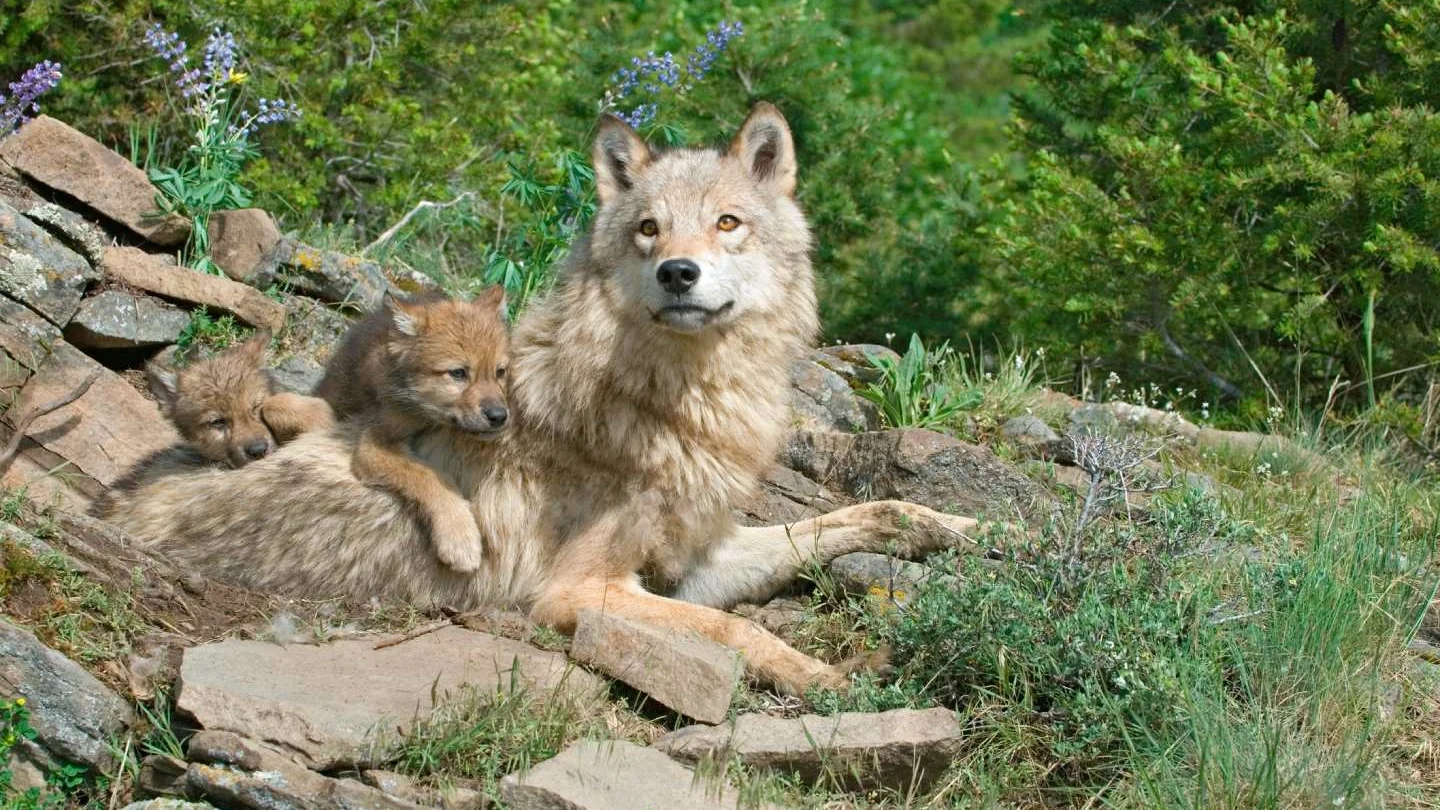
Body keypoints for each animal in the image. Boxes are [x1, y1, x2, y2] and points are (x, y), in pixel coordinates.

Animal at [98, 102, 979, 694]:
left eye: (727, 222)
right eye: (649, 230)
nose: (678, 273)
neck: (673, 404)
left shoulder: (693, 559)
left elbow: (865, 514)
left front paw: (972, 527)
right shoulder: (581, 592)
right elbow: (735, 631)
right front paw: (832, 683)